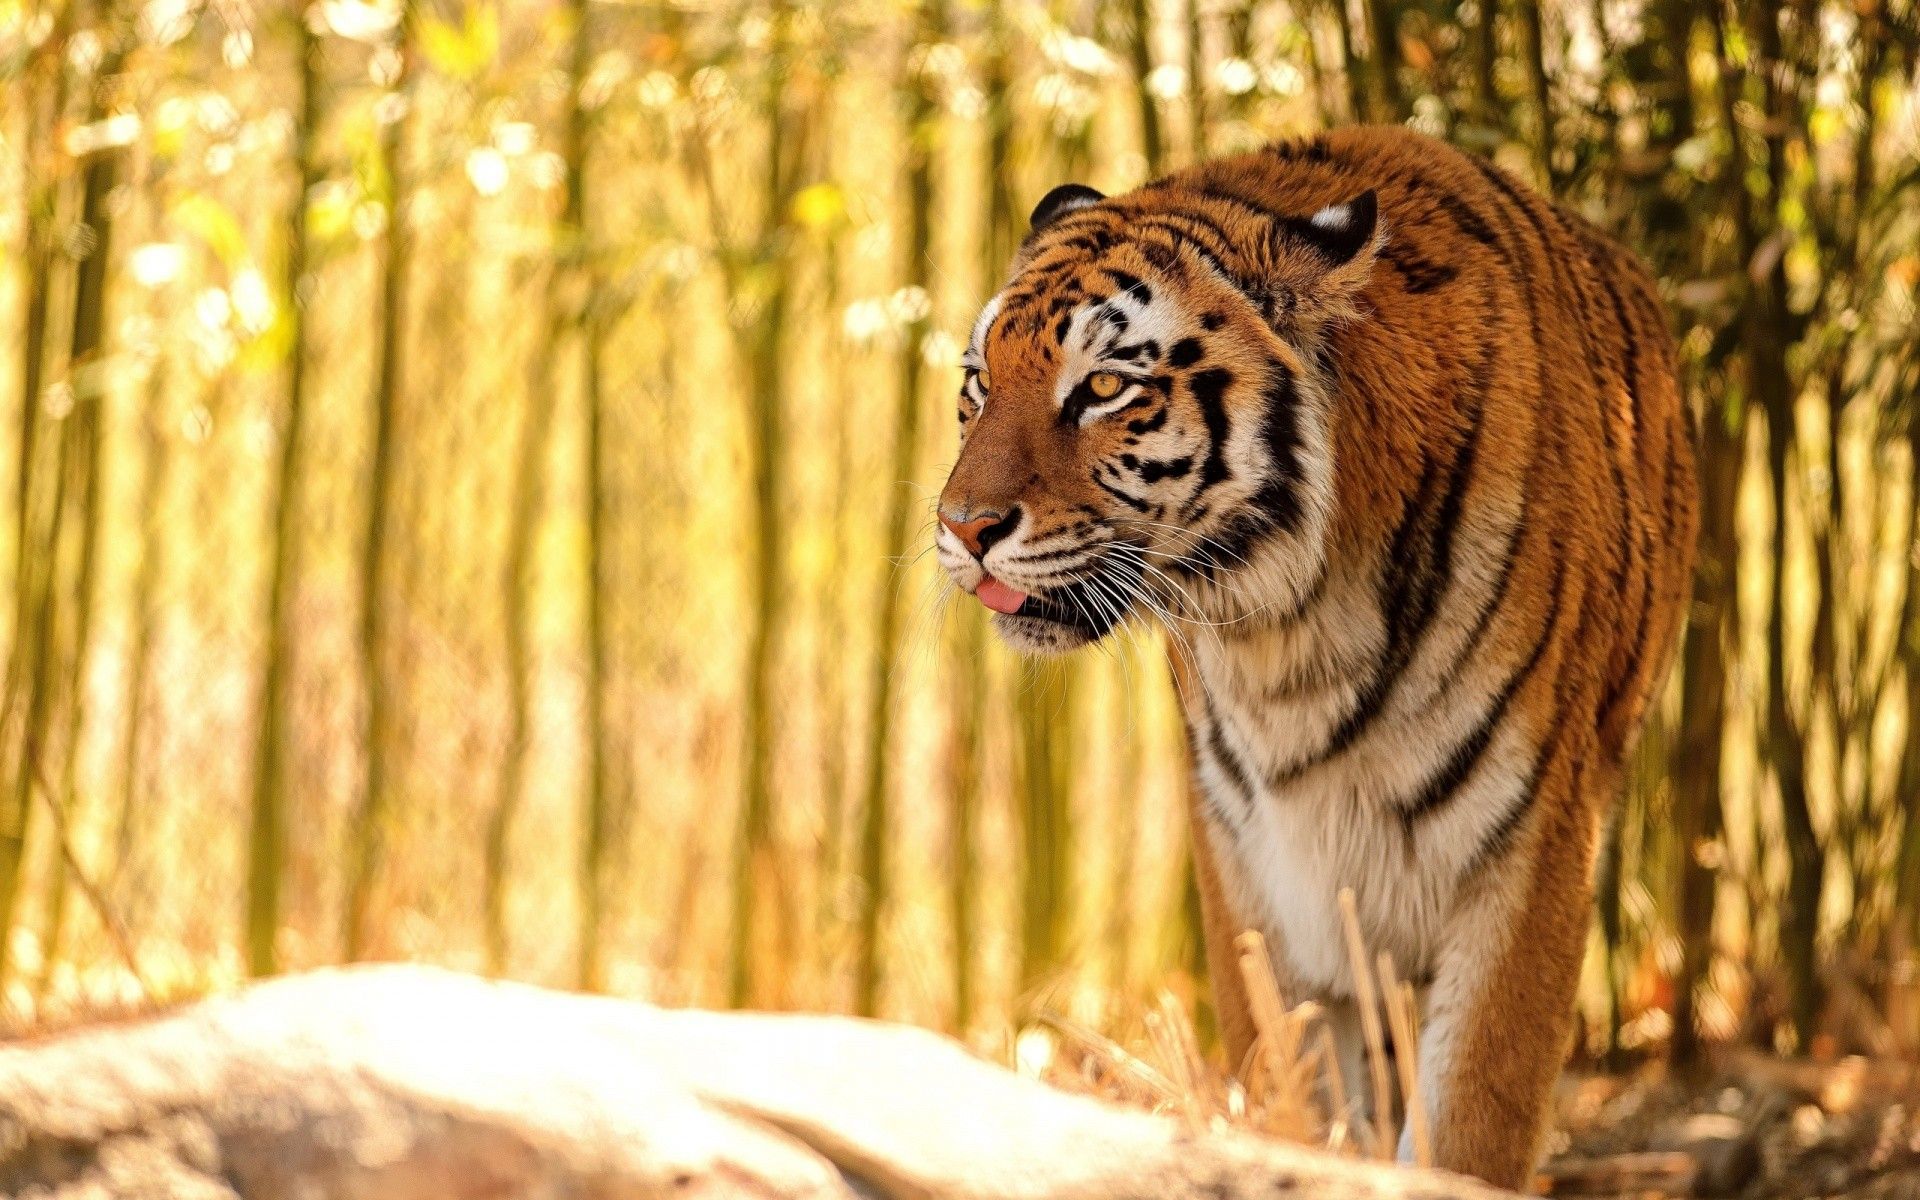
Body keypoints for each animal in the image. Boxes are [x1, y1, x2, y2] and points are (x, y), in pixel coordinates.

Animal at [935, 125, 1698, 1190]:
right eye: (976, 387)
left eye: (1104, 387)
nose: (962, 527)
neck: (1285, 637)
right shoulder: (1249, 859)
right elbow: (1291, 1093)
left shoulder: (1532, 843)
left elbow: (1474, 1121)